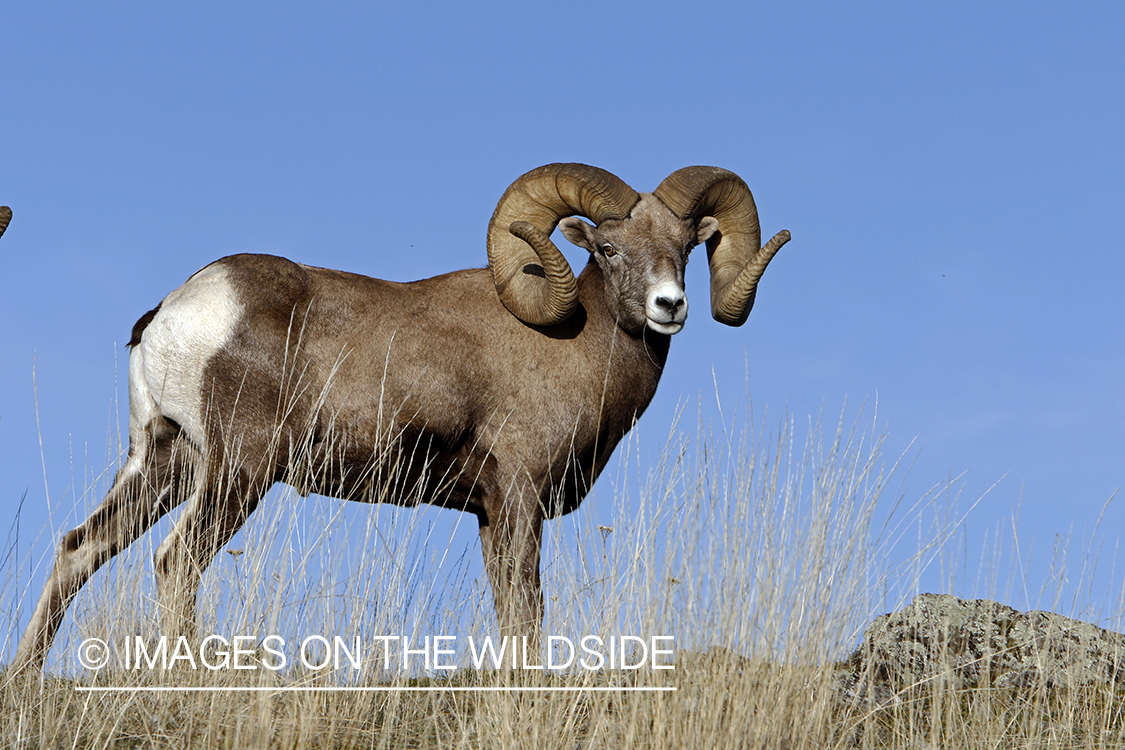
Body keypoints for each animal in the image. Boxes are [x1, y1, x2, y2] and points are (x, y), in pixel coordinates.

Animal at [12, 164, 790, 671]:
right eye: (606, 247)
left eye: (684, 247)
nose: (669, 306)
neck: (574, 344)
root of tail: (175, 311)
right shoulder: (519, 499)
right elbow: (527, 610)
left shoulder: (488, 513)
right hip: (237, 474)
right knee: (174, 562)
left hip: (164, 464)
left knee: (78, 549)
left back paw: (21, 678)